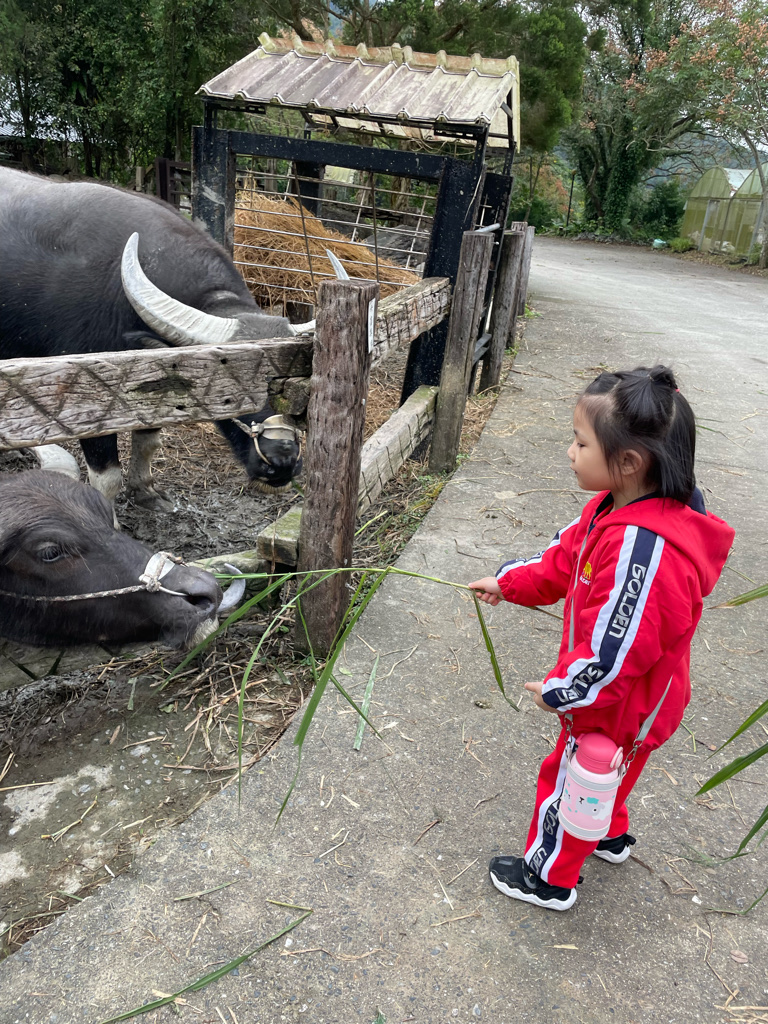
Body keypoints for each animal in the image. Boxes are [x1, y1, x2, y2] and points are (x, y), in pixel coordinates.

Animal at [0, 168, 305, 511]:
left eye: (296, 388)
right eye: (232, 385)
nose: (282, 462)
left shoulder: (161, 387)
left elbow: (148, 442)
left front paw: (146, 491)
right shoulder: (87, 405)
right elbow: (107, 477)